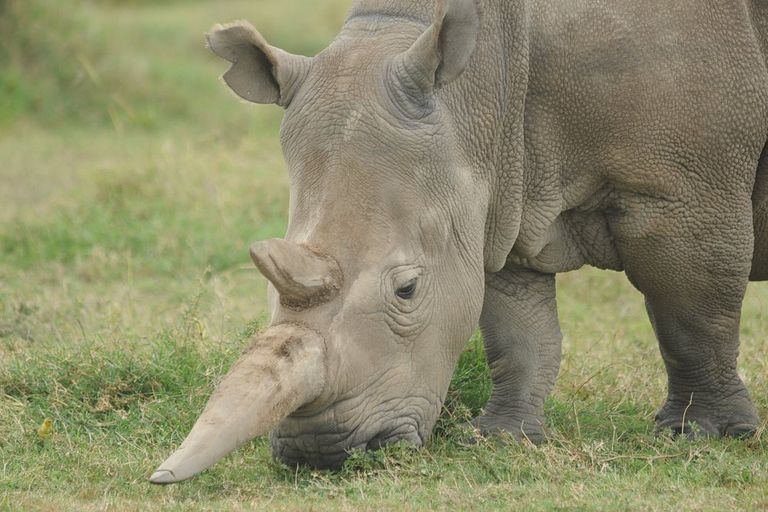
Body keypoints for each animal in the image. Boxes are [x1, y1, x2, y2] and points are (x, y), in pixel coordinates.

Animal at [150, 0, 768, 484]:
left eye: (406, 290)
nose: (319, 453)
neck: (481, 80)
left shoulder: (682, 192)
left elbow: (689, 312)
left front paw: (701, 435)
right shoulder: (500, 192)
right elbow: (518, 331)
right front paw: (501, 438)